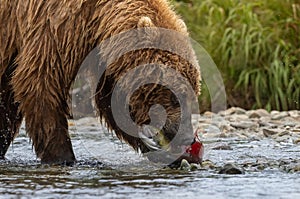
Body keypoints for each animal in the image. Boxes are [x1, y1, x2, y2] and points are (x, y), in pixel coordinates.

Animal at [1, 0, 202, 165]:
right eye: (175, 96)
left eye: (193, 94)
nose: (186, 137)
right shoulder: (52, 27)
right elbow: (40, 85)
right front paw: (63, 157)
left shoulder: (101, 57)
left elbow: (113, 101)